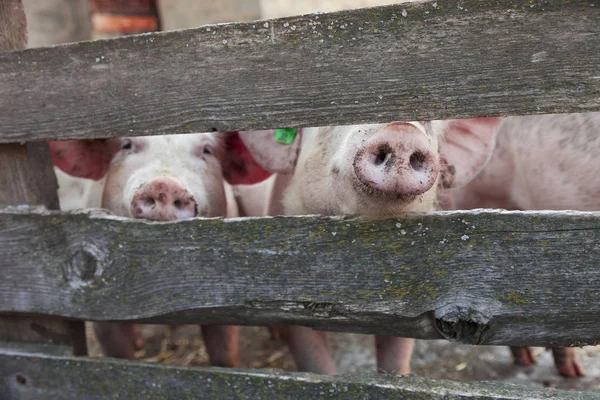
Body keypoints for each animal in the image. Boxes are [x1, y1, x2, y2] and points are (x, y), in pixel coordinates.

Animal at [49, 133, 270, 368]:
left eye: (207, 150)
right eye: (126, 145)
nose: (164, 185)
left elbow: (224, 355)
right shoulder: (97, 308)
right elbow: (117, 353)